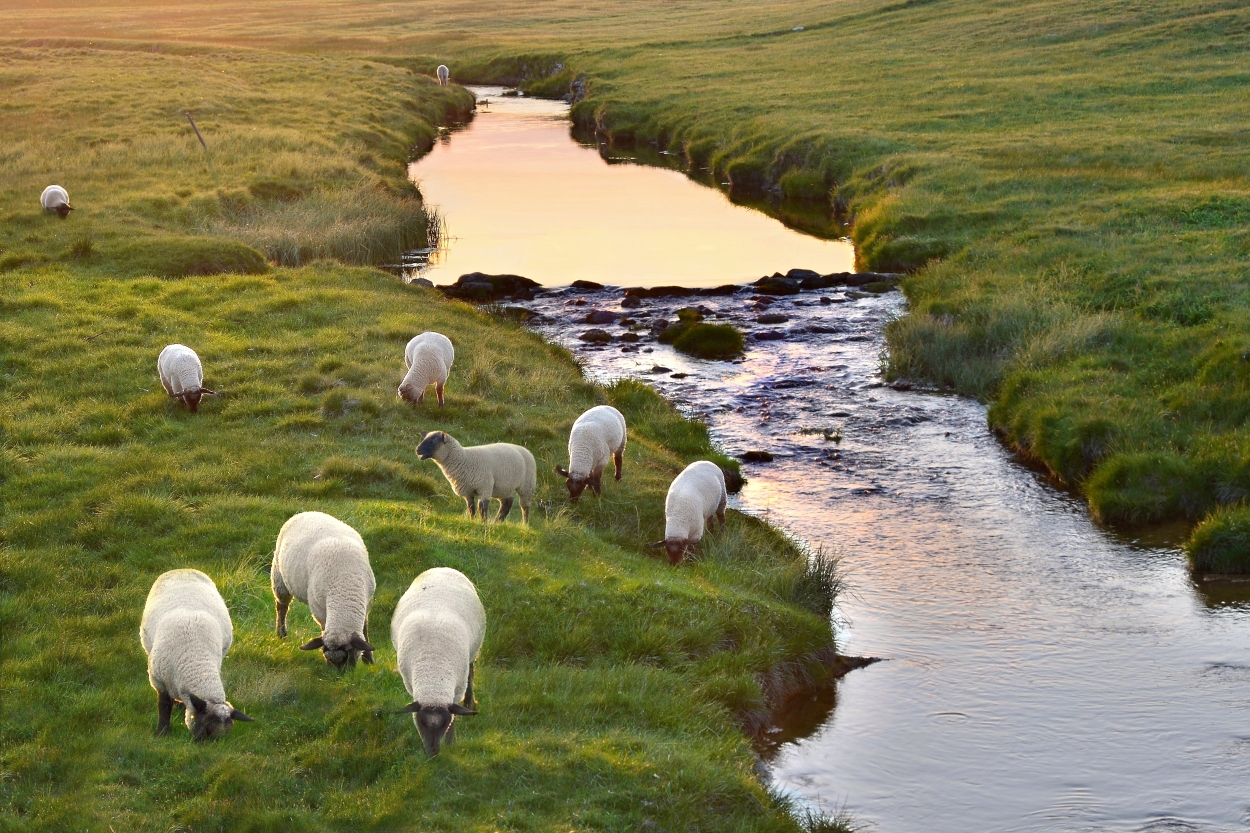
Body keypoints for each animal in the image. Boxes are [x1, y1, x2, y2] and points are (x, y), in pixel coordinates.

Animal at [139, 567, 253, 735]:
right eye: (205, 728)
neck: (196, 658)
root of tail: (183, 569)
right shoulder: (159, 682)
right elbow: (164, 706)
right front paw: (162, 732)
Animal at [270, 510, 375, 665]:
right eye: (328, 658)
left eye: (349, 655)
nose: (342, 673)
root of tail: (306, 512)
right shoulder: (319, 609)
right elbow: (324, 628)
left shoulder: (366, 603)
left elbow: (365, 630)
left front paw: (368, 659)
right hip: (279, 577)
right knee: (282, 607)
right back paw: (281, 633)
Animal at [392, 567, 485, 755]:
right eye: (420, 722)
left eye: (445, 723)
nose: (432, 754)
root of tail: (442, 568)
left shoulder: (456, 691)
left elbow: (455, 715)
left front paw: (451, 742)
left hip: (473, 651)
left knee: (471, 672)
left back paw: (470, 702)